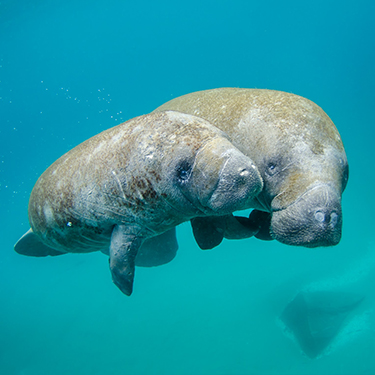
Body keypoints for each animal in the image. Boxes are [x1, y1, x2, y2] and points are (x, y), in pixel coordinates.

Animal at [13, 111, 262, 296]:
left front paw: (250, 226)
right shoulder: (126, 220)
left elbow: (229, 225)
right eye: (182, 171)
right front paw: (125, 288)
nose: (245, 171)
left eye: (227, 138)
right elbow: (121, 257)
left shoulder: (204, 202)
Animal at [155, 89, 350, 250]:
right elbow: (224, 221)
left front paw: (260, 225)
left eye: (346, 175)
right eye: (272, 167)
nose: (326, 216)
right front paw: (249, 227)